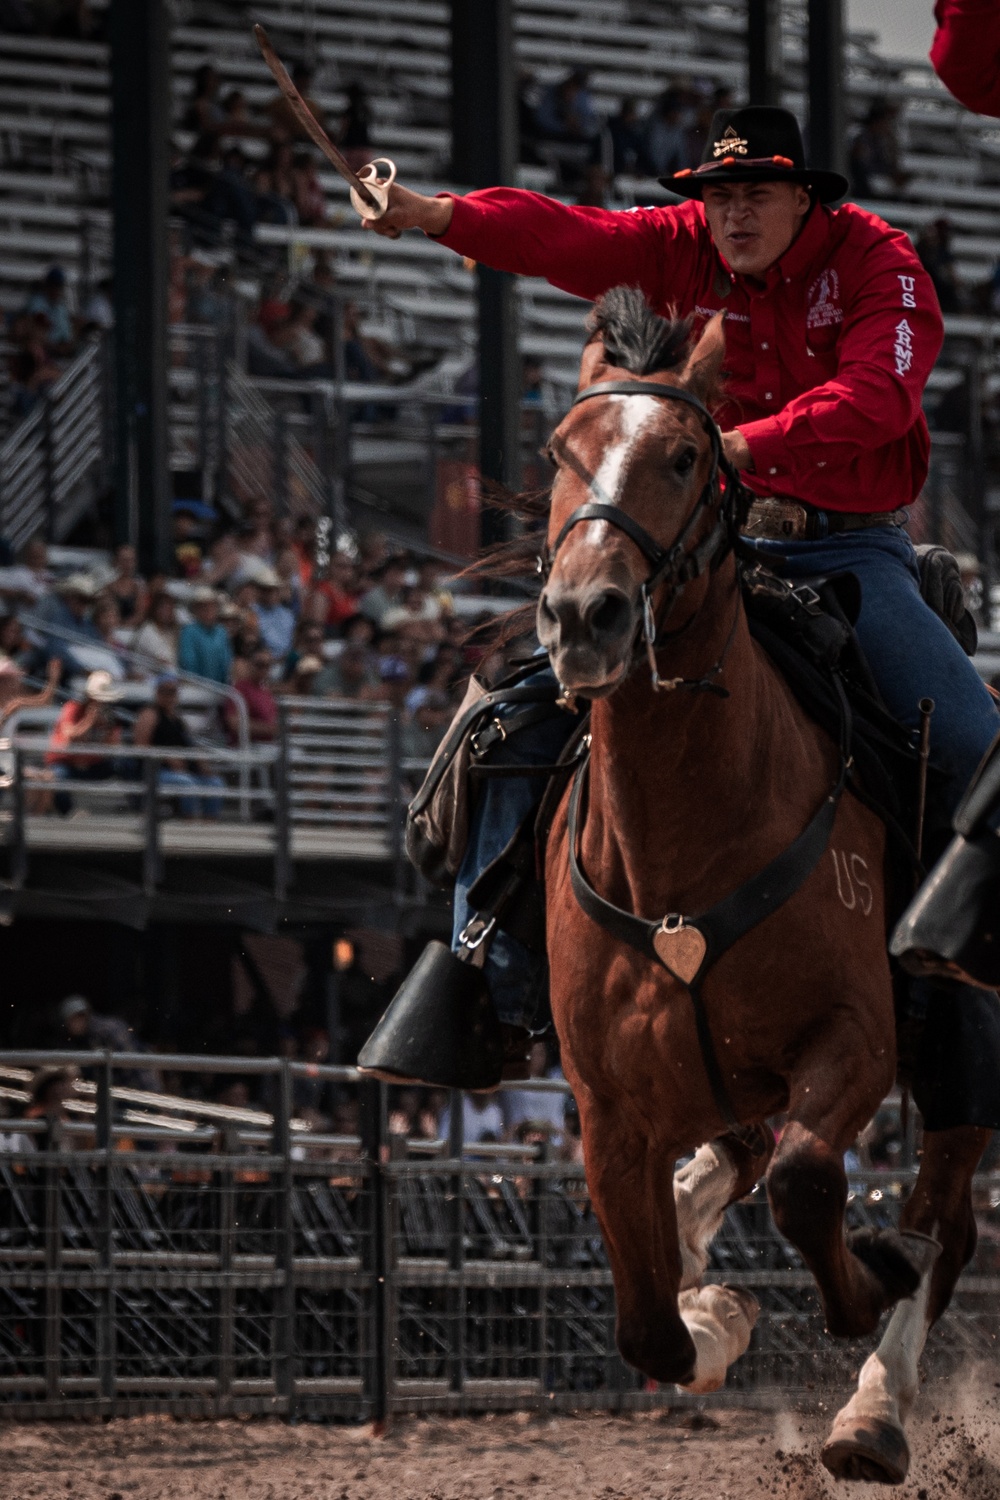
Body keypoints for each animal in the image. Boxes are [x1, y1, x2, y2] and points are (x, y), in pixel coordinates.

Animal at [536, 286, 989, 1482]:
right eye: (560, 451)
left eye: (688, 454)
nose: (584, 615)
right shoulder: (608, 1109)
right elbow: (647, 1325)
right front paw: (714, 1317)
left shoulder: (856, 1041)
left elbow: (813, 1187)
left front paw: (863, 1280)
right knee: (738, 1161)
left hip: (954, 1049)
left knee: (941, 1219)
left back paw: (874, 1411)